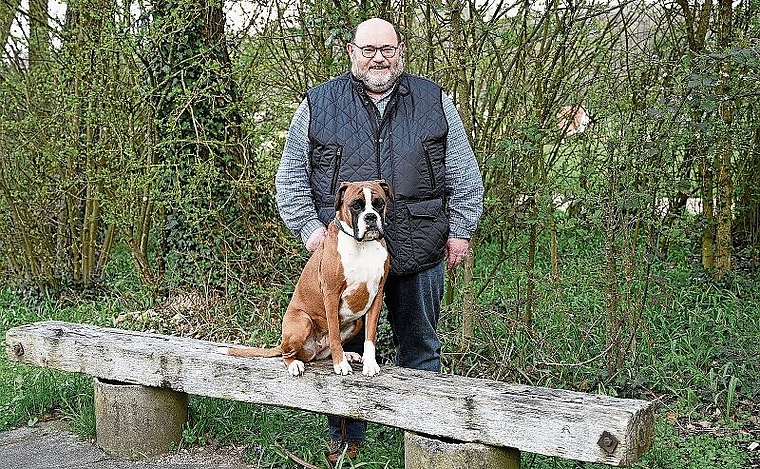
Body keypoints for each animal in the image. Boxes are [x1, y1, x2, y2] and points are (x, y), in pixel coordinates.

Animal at [226, 180, 392, 376]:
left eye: (379, 203)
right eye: (356, 206)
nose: (370, 217)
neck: (362, 245)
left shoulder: (377, 295)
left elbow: (370, 336)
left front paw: (370, 363)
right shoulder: (331, 294)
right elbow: (335, 334)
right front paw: (340, 364)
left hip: (356, 322)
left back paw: (348, 354)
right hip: (302, 323)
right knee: (287, 354)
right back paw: (295, 365)